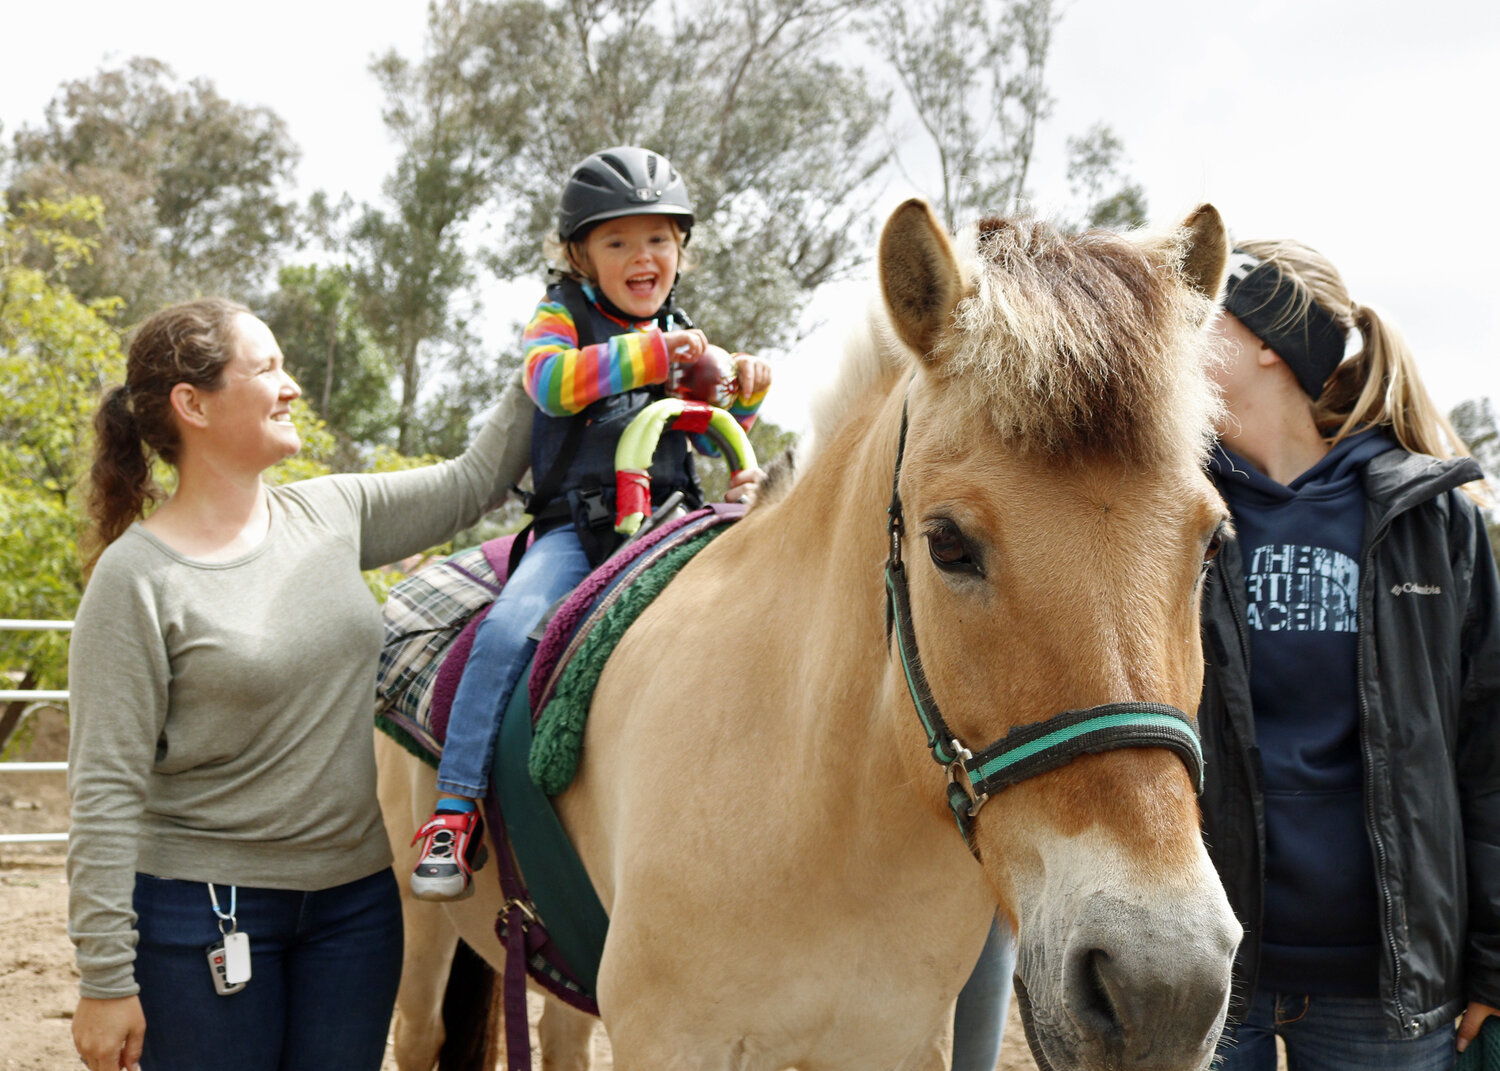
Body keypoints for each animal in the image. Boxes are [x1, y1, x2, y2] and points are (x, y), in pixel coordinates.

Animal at [378, 201, 1242, 1068]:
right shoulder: (668, 1038)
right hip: (420, 923)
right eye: (947, 544)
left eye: (1212, 543)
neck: (827, 815)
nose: (1162, 985)